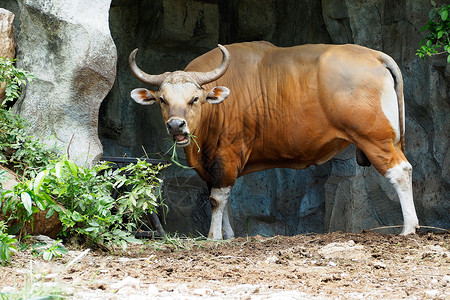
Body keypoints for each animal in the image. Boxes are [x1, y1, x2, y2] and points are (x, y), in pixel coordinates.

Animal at [129, 41, 418, 239]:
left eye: (194, 99)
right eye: (162, 99)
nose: (176, 125)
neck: (217, 108)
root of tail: (374, 55)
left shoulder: (228, 154)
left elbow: (217, 199)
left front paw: (213, 236)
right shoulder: (214, 164)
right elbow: (224, 198)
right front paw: (228, 235)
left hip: (375, 138)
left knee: (401, 171)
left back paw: (409, 228)